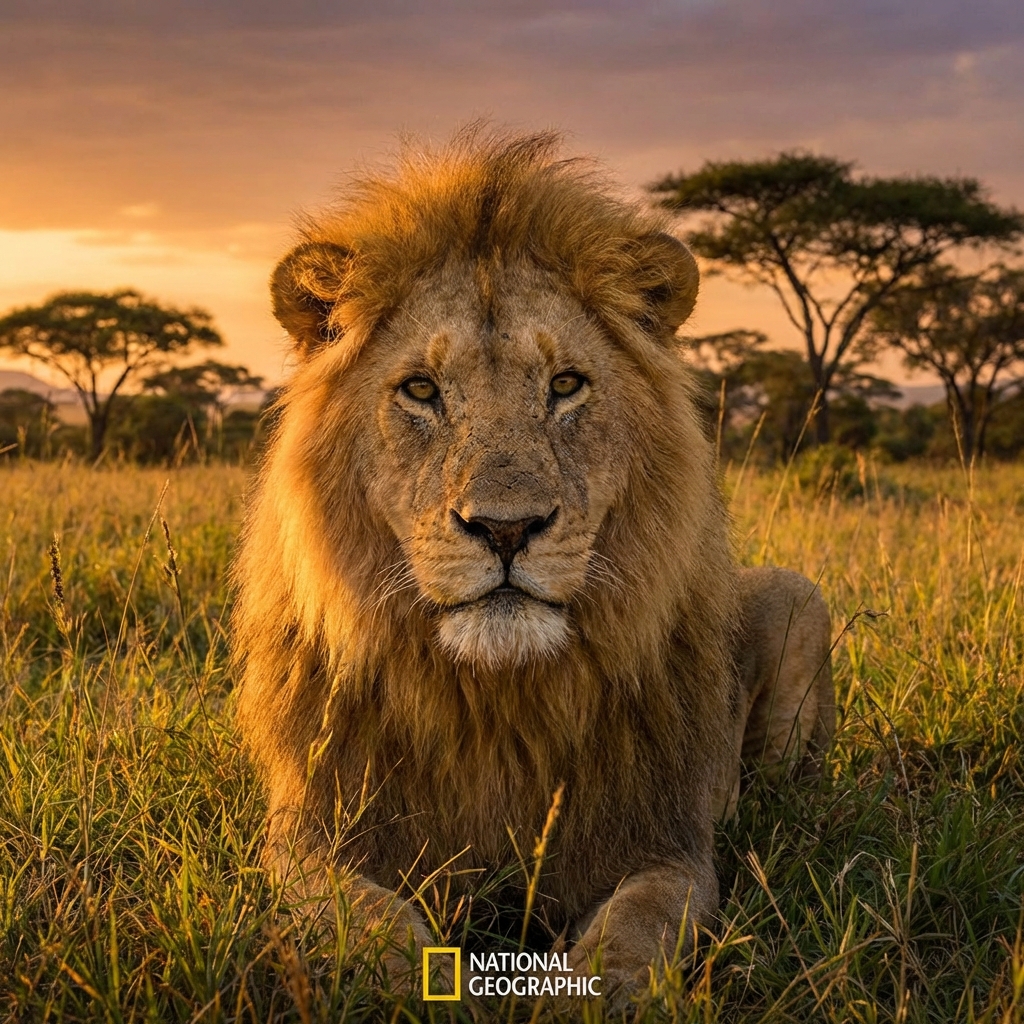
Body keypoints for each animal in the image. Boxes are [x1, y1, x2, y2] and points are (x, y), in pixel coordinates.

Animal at [231, 128, 834, 997]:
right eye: (422, 389)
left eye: (566, 384)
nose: (506, 528)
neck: (496, 705)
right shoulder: (308, 839)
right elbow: (366, 926)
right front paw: (414, 983)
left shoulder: (668, 846)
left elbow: (638, 927)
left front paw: (590, 993)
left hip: (797, 597)